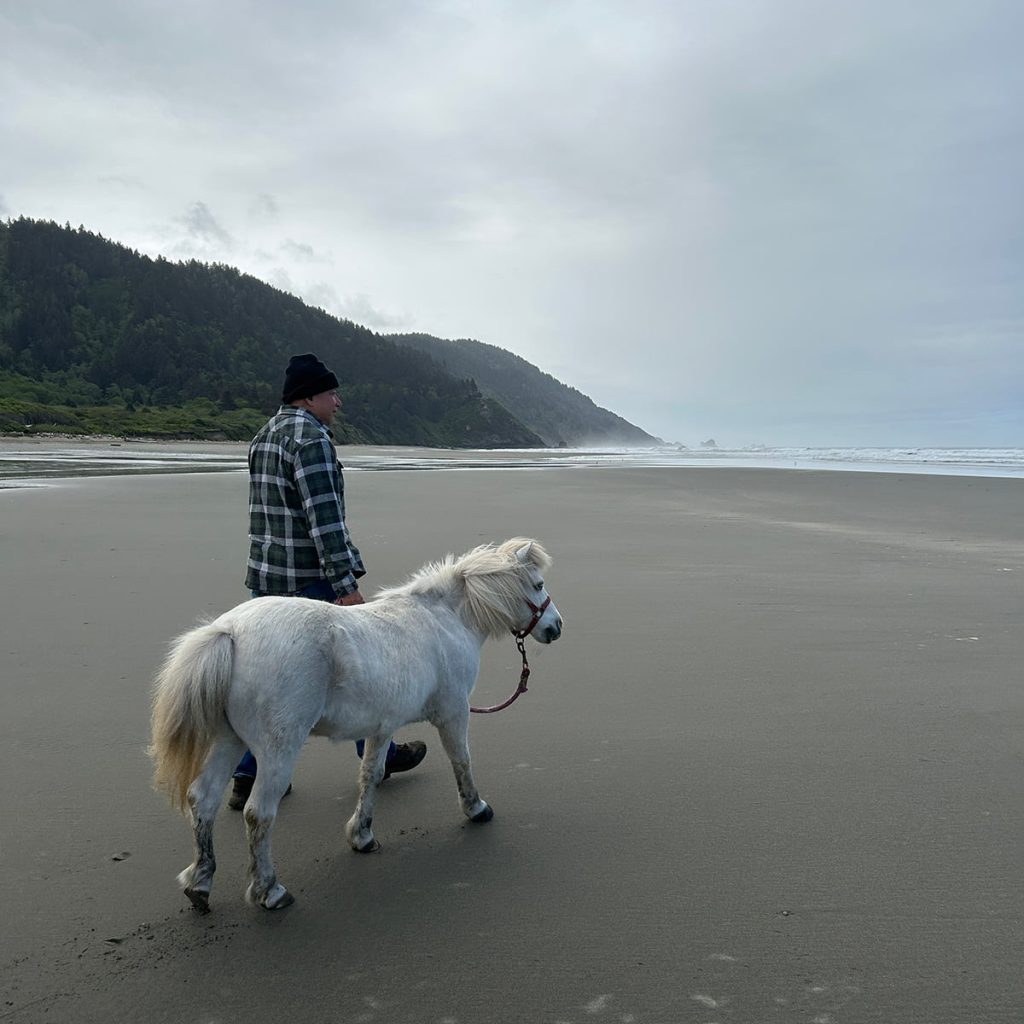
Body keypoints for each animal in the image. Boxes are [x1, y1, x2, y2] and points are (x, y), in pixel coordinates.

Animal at [149, 537, 562, 912]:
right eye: (538, 584)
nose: (556, 627)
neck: (443, 620)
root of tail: (231, 631)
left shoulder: (382, 727)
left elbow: (371, 776)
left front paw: (361, 835)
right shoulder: (454, 712)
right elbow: (462, 762)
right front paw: (476, 809)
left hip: (230, 741)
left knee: (202, 799)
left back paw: (200, 882)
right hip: (277, 750)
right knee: (258, 814)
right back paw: (270, 890)